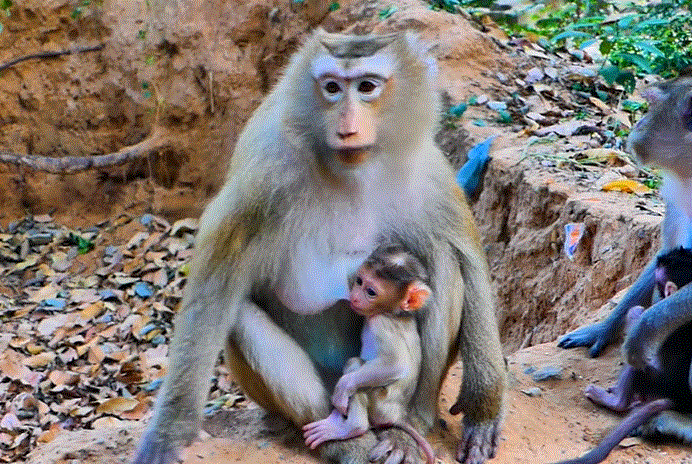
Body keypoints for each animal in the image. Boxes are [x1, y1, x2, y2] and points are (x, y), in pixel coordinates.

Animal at [302, 244, 435, 464]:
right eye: (359, 281)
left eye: (371, 292)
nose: (355, 296)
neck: (391, 313)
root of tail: (397, 415)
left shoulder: (380, 324)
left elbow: (395, 364)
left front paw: (341, 391)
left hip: (379, 404)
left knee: (356, 366)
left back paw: (350, 427)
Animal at [553, 247, 692, 464]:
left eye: (660, 287)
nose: (659, 296)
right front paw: (601, 331)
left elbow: (639, 329)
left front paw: (641, 323)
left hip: (653, 381)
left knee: (635, 360)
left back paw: (616, 401)